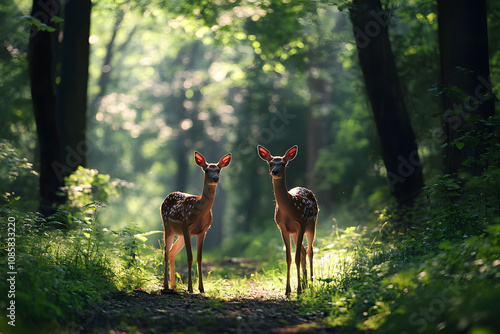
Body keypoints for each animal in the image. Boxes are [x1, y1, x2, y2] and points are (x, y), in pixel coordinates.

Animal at [160, 151, 230, 292]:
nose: (215, 178)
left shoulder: (203, 231)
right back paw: (165, 285)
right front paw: (190, 288)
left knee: (172, 252)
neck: (200, 211)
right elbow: (190, 257)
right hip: (167, 227)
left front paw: (201, 288)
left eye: (218, 170)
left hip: (179, 234)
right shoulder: (186, 226)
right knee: (166, 251)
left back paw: (173, 285)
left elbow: (199, 258)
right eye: (207, 170)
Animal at [256, 145, 318, 294]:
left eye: (283, 164)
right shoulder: (282, 228)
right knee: (303, 251)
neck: (289, 210)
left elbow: (296, 258)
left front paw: (298, 289)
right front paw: (288, 290)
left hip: (311, 225)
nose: (275, 171)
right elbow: (288, 258)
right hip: (295, 232)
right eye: (270, 163)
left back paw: (311, 283)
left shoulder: (301, 223)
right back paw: (305, 283)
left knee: (310, 251)